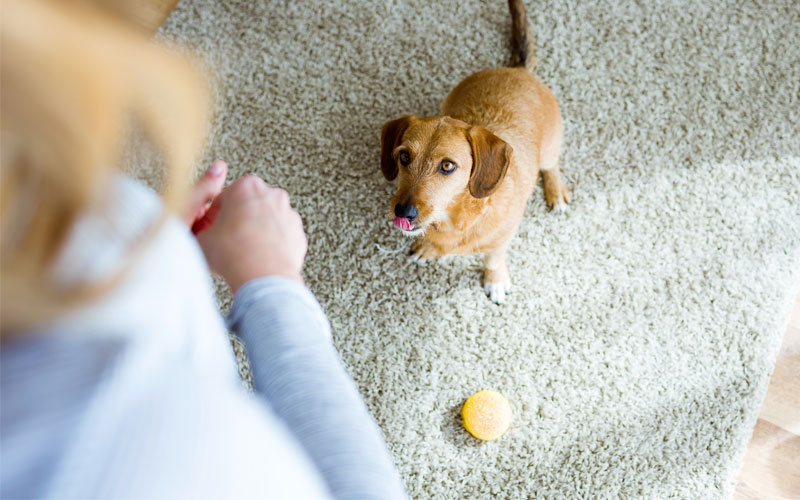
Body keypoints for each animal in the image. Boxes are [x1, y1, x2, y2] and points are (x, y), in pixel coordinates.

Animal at [380, 0, 568, 304]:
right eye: (404, 156)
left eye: (447, 166)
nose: (403, 212)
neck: (458, 216)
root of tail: (518, 71)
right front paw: (428, 248)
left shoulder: (501, 241)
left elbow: (493, 259)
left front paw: (495, 280)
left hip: (551, 147)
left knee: (551, 166)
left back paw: (556, 191)